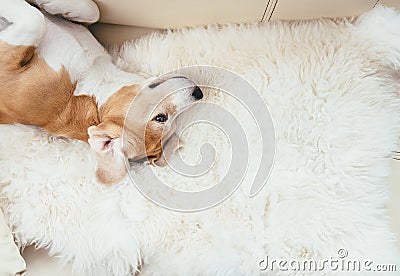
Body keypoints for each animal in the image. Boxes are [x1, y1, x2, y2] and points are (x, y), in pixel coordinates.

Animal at [0, 0, 203, 185]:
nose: (198, 93)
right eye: (161, 118)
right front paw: (53, 6)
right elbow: (92, 11)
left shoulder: (9, 72)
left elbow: (35, 20)